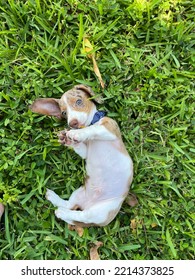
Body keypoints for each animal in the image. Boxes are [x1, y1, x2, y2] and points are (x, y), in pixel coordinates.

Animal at [30, 84, 134, 226]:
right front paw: (68, 139)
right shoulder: (86, 152)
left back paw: (61, 212)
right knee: (70, 206)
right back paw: (54, 199)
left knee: (81, 216)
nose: (72, 123)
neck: (93, 121)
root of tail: (88, 204)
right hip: (78, 193)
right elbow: (81, 146)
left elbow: (92, 129)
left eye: (79, 102)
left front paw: (76, 134)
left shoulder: (108, 129)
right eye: (64, 113)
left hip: (101, 212)